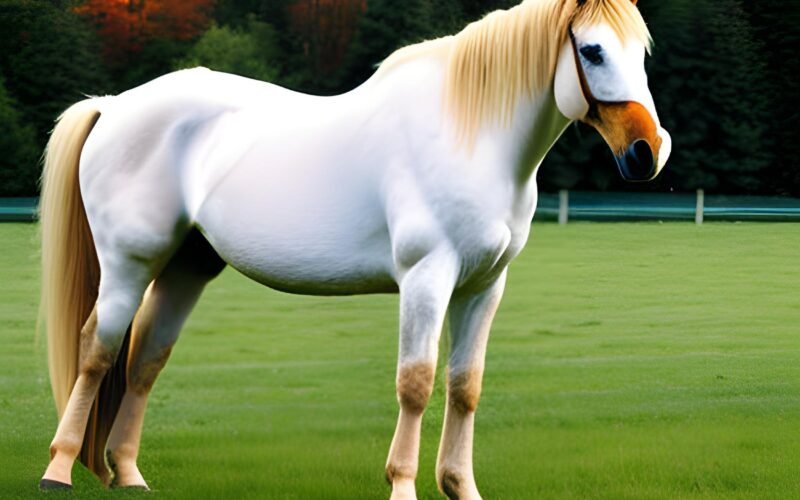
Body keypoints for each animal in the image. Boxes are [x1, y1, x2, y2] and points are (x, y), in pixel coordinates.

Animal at [38, 0, 670, 497]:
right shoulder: (426, 278)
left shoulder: (483, 287)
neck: (471, 135)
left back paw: (128, 474)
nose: (647, 152)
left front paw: (460, 487)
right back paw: (59, 469)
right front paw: (403, 486)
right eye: (592, 51)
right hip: (129, 263)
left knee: (145, 359)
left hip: (186, 268)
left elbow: (465, 387)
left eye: (640, 54)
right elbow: (416, 382)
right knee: (97, 351)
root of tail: (115, 105)